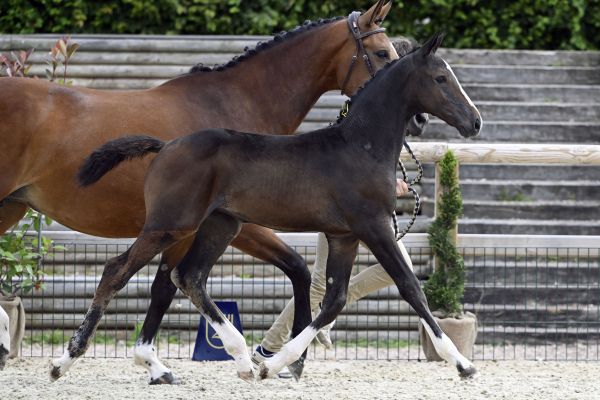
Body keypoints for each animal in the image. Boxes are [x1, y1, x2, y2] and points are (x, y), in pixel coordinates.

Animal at [0, 0, 426, 384]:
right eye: (381, 52)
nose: (420, 120)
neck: (234, 102)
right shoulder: (236, 224)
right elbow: (293, 268)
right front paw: (278, 359)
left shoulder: (191, 229)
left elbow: (166, 287)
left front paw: (154, 363)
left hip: (12, 207)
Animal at [74, 32, 478, 382]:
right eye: (441, 77)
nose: (474, 121)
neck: (359, 147)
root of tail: (165, 146)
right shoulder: (374, 226)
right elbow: (410, 288)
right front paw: (462, 363)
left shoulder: (344, 236)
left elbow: (334, 300)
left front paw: (279, 363)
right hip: (170, 225)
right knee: (117, 271)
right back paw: (70, 357)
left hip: (220, 226)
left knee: (188, 277)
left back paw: (238, 359)